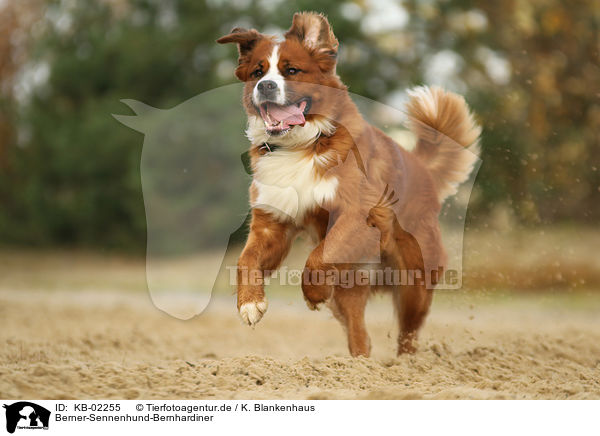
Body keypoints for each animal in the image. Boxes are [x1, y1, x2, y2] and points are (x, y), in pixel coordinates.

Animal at [218, 11, 480, 358]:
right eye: (257, 72)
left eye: (291, 70)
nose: (266, 86)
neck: (302, 146)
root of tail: (421, 167)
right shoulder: (272, 223)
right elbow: (245, 260)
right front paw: (250, 303)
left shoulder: (359, 214)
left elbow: (320, 255)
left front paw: (313, 293)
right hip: (352, 285)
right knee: (360, 335)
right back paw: (358, 365)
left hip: (413, 278)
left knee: (408, 332)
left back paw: (406, 363)